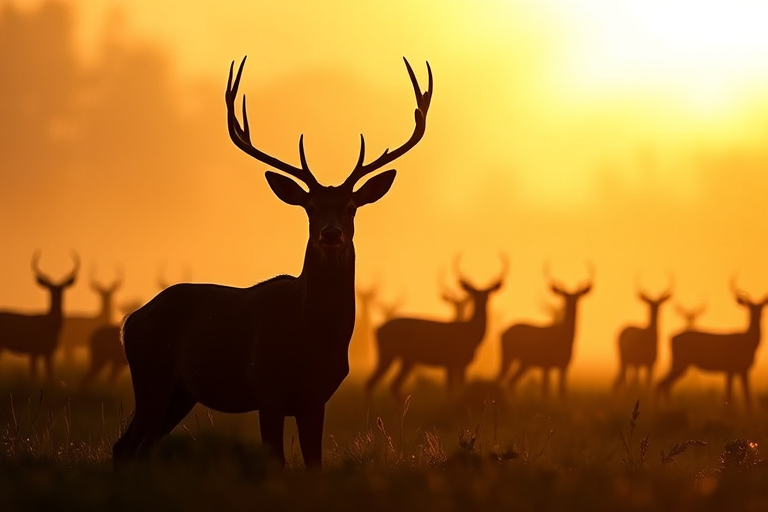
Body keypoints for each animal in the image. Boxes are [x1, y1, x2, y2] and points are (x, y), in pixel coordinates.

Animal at [0, 251, 79, 382]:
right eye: (49, 288)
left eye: (62, 288)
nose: (57, 295)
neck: (49, 325)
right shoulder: (34, 351)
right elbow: (34, 374)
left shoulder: (49, 352)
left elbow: (50, 375)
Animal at [112, 55, 432, 468]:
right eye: (310, 207)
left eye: (351, 207)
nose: (331, 234)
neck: (311, 335)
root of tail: (129, 322)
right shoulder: (266, 386)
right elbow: (275, 460)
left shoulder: (316, 397)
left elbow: (314, 464)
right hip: (152, 378)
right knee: (125, 446)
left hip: (180, 393)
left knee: (133, 446)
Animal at [365, 254, 507, 400]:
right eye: (473, 294)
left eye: (488, 294)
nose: (482, 301)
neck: (471, 334)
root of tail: (377, 329)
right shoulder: (451, 362)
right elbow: (450, 389)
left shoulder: (462, 364)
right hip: (387, 354)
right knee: (371, 382)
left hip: (406, 360)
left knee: (393, 385)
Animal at [497, 263, 594, 398]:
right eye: (564, 296)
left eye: (577, 297)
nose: (570, 305)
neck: (564, 338)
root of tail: (502, 332)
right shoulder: (546, 364)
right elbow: (546, 390)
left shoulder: (564, 365)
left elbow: (561, 391)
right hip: (508, 355)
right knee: (499, 378)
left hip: (524, 363)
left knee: (511, 381)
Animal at [656, 277, 768, 409]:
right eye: (749, 308)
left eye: (761, 307)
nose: (759, 315)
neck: (749, 342)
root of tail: (670, 337)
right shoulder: (733, 368)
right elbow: (735, 395)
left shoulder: (739, 370)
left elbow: (743, 396)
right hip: (680, 362)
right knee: (661, 384)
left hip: (679, 364)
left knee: (664, 385)